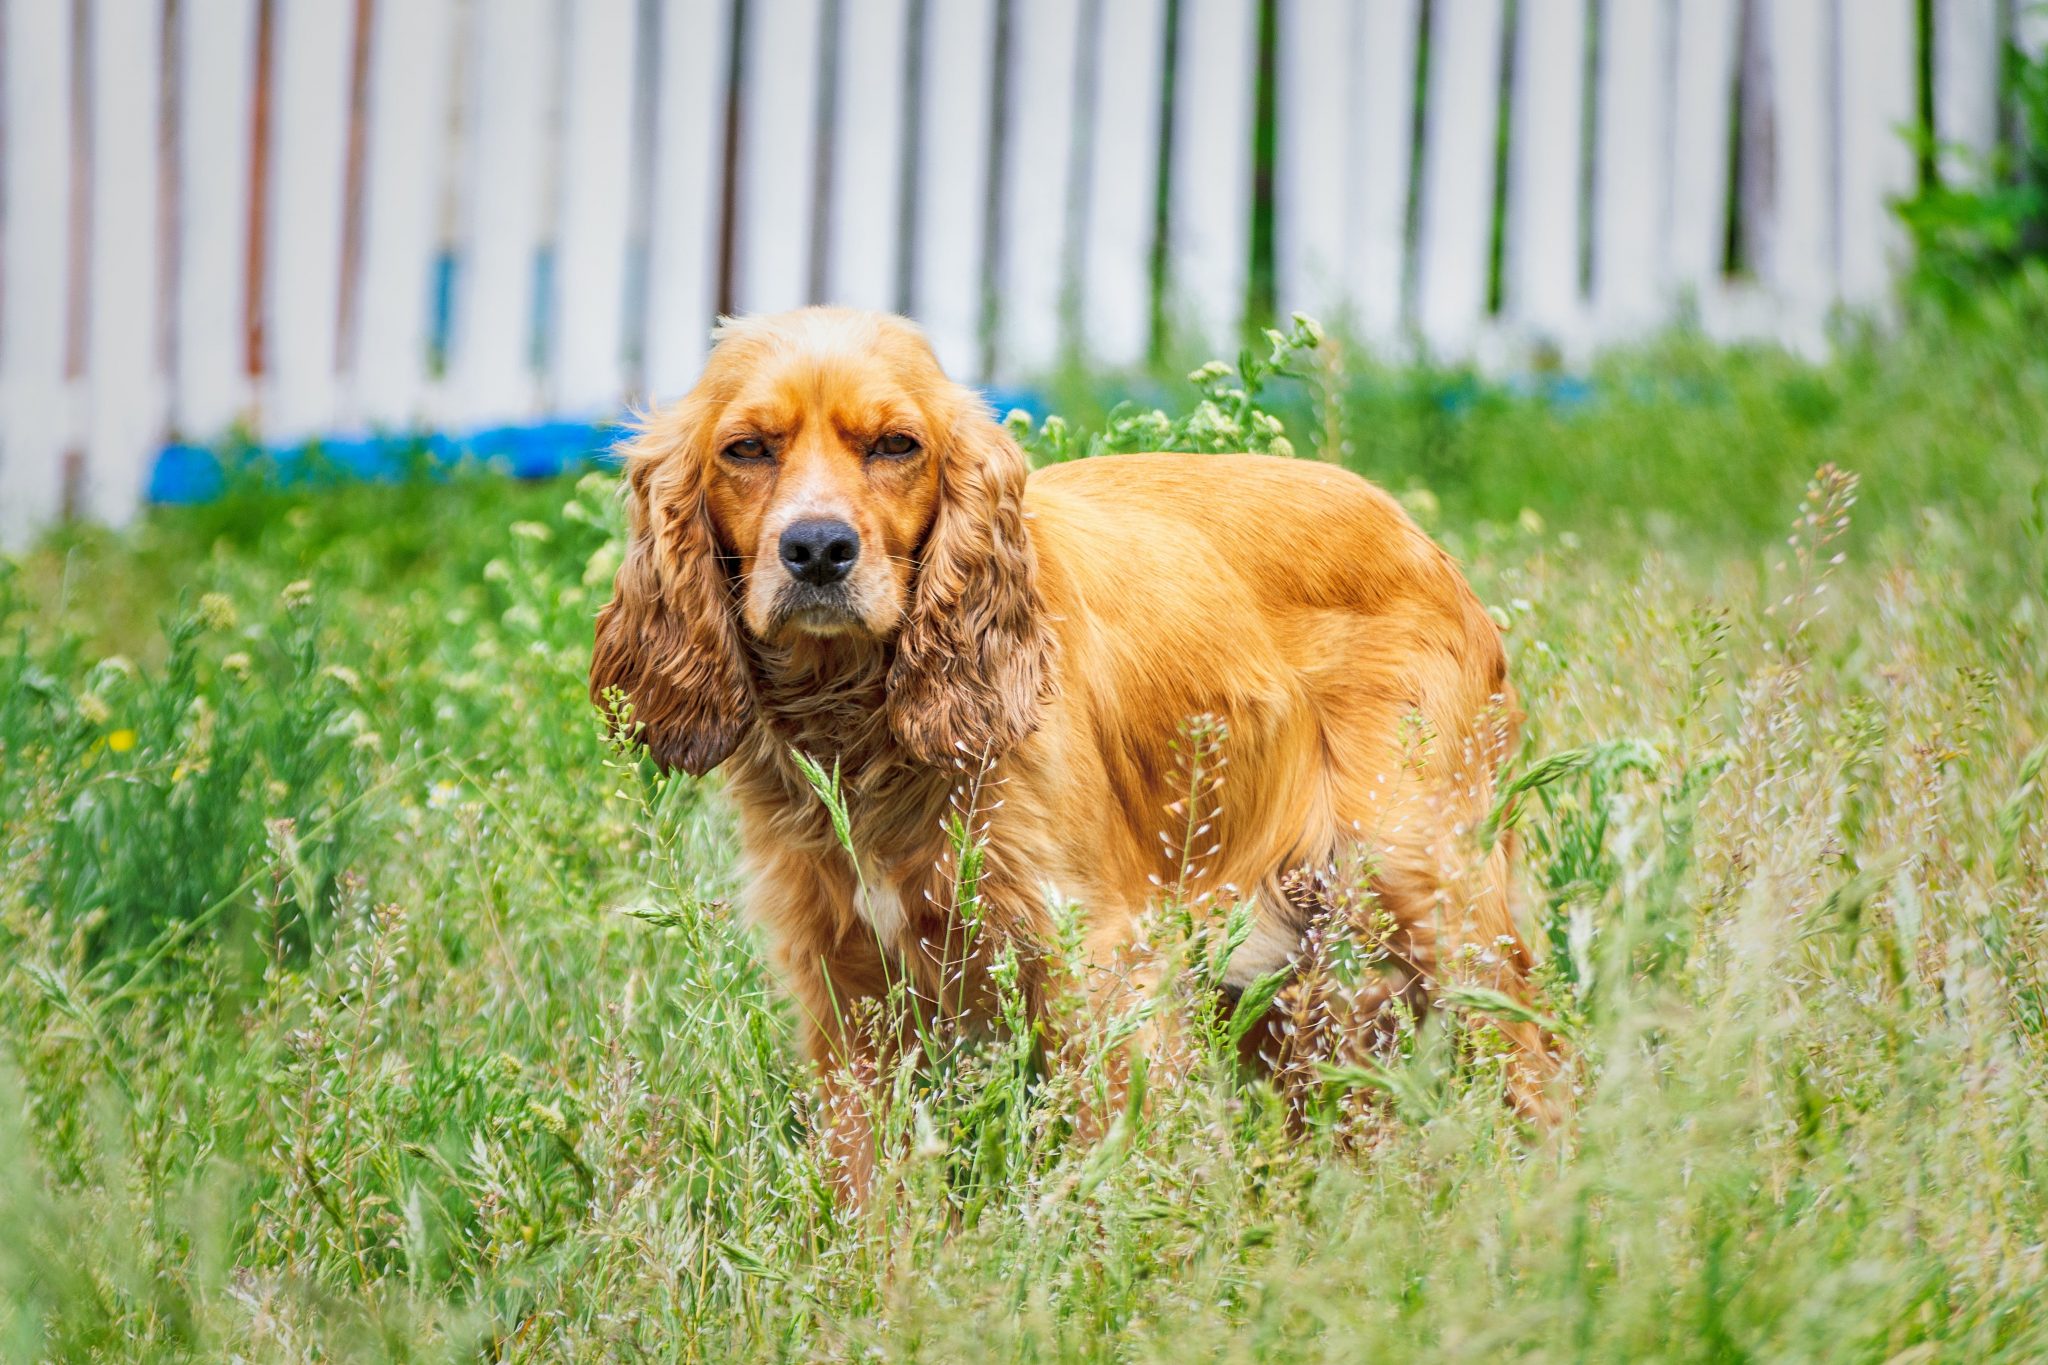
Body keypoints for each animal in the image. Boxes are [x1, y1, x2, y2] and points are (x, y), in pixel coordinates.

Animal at [589, 309, 1548, 1195]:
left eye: (898, 445)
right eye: (746, 449)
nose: (818, 548)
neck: (864, 724)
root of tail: (1420, 537)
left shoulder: (1094, 961)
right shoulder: (846, 984)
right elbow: (871, 1188)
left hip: (1435, 899)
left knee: (1546, 1065)